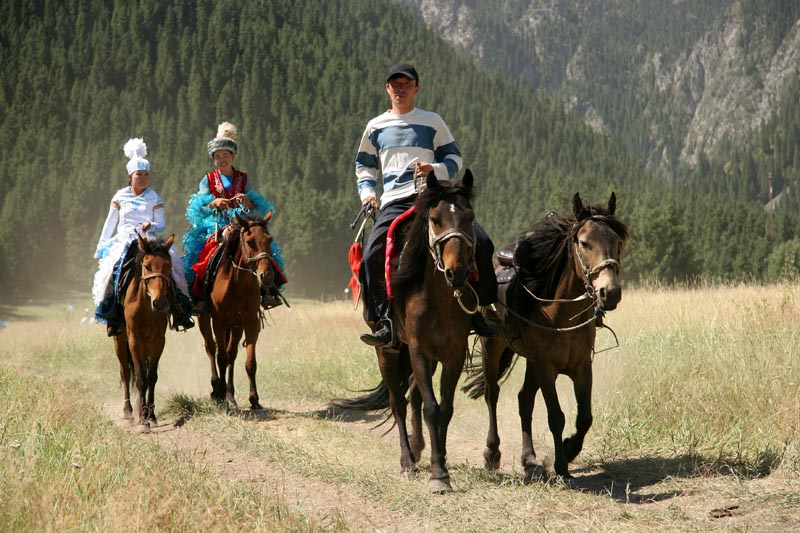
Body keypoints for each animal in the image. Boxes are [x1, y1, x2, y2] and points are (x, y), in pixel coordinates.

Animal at [197, 210, 278, 410]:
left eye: (269, 239)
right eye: (250, 241)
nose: (267, 276)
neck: (236, 283)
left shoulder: (249, 322)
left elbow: (249, 362)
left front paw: (253, 399)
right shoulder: (218, 321)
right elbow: (221, 357)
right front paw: (220, 394)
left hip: (235, 326)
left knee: (231, 354)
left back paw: (230, 394)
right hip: (205, 320)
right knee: (211, 349)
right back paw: (216, 389)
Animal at [334, 170, 478, 490]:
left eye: (470, 217)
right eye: (435, 219)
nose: (457, 272)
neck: (438, 296)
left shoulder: (453, 354)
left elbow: (445, 409)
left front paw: (442, 460)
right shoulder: (418, 349)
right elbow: (432, 408)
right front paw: (438, 476)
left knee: (412, 394)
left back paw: (419, 446)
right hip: (388, 352)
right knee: (398, 401)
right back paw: (408, 460)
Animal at [462, 191, 632, 478]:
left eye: (617, 242)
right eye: (584, 243)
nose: (610, 293)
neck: (560, 314)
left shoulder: (581, 366)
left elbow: (584, 417)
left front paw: (570, 448)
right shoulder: (545, 366)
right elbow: (556, 416)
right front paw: (561, 464)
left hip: (530, 361)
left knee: (524, 400)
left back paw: (529, 459)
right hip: (492, 347)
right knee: (492, 394)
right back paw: (492, 453)